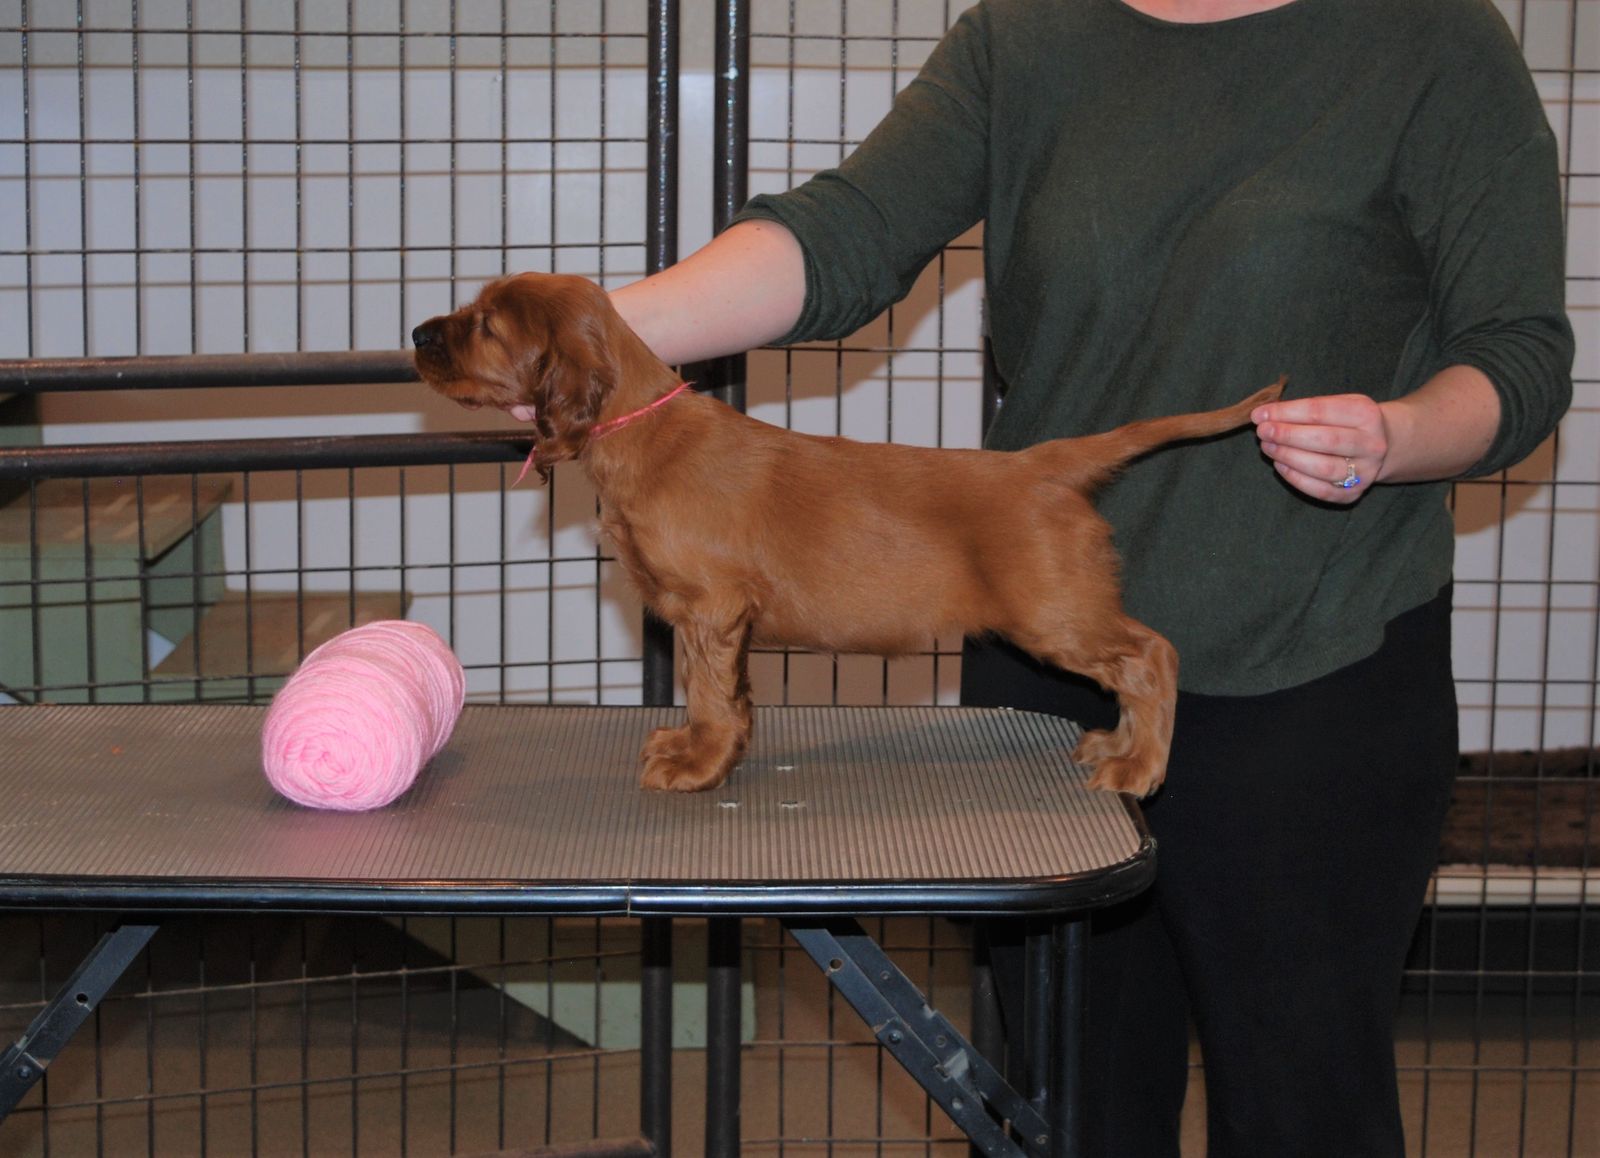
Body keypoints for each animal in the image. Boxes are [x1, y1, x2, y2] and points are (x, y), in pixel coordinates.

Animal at [412, 272, 1283, 796]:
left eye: (485, 324)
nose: (418, 334)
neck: (638, 430)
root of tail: (1043, 464)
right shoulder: (720, 618)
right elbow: (729, 692)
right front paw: (719, 749)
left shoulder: (709, 603)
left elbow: (706, 691)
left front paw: (697, 762)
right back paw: (1116, 749)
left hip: (1055, 613)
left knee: (1152, 656)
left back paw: (1138, 767)